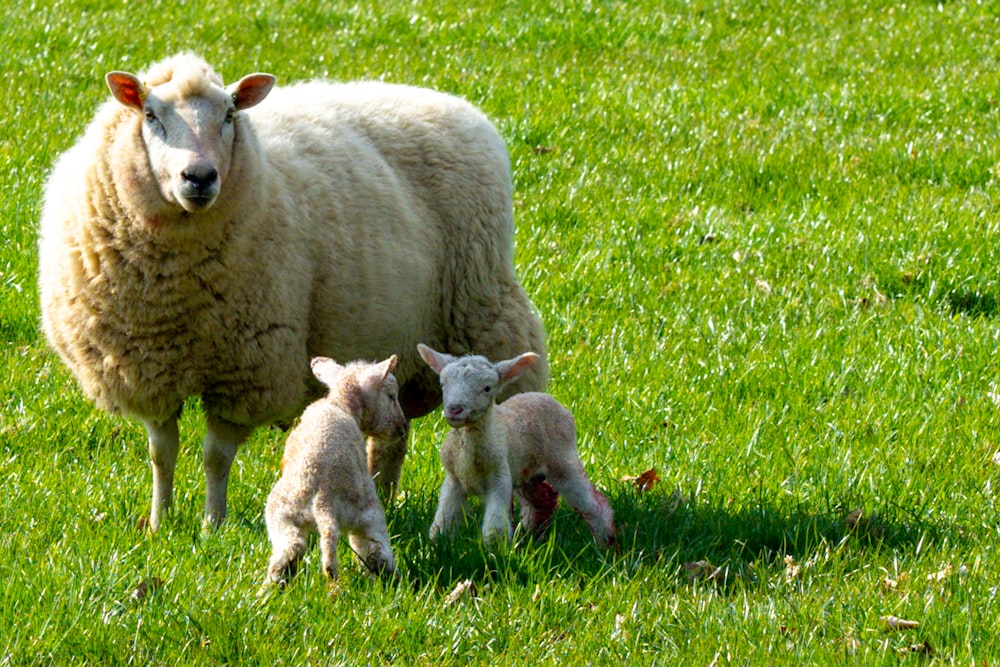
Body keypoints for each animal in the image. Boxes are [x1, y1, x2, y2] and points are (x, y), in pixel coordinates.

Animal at [37, 52, 548, 532]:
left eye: (229, 114)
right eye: (150, 114)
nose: (199, 177)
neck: (175, 293)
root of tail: (453, 104)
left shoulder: (246, 371)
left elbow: (215, 457)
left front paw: (212, 525)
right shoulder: (149, 370)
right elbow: (162, 453)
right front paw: (161, 523)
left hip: (485, 310)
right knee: (393, 434)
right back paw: (381, 495)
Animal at [270, 354, 406, 584]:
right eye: (392, 396)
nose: (402, 428)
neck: (339, 403)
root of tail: (323, 500)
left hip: (281, 514)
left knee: (290, 548)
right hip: (366, 513)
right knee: (374, 550)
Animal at [416, 344, 616, 548]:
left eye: (487, 388)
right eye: (443, 384)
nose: (454, 409)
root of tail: (546, 397)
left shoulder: (499, 476)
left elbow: (495, 526)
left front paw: (495, 551)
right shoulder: (454, 480)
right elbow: (443, 520)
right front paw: (435, 544)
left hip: (562, 460)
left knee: (592, 503)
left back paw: (605, 542)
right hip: (525, 472)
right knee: (543, 499)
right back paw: (532, 536)